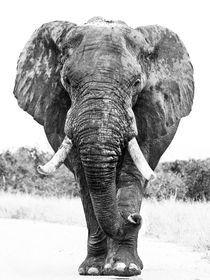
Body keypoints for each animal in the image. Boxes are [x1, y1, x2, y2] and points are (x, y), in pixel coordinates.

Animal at [12, 16, 194, 276]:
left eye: (136, 83)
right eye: (67, 81)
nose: (135, 218)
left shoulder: (149, 107)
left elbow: (132, 173)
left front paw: (124, 268)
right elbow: (85, 181)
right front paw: (93, 270)